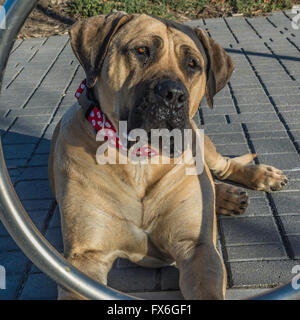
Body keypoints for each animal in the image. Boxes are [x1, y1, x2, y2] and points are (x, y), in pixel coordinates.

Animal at [48, 11, 288, 298]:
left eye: (193, 64)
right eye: (142, 51)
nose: (173, 95)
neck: (140, 160)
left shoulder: (198, 249)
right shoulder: (85, 257)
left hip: (200, 139)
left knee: (223, 166)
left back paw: (261, 177)